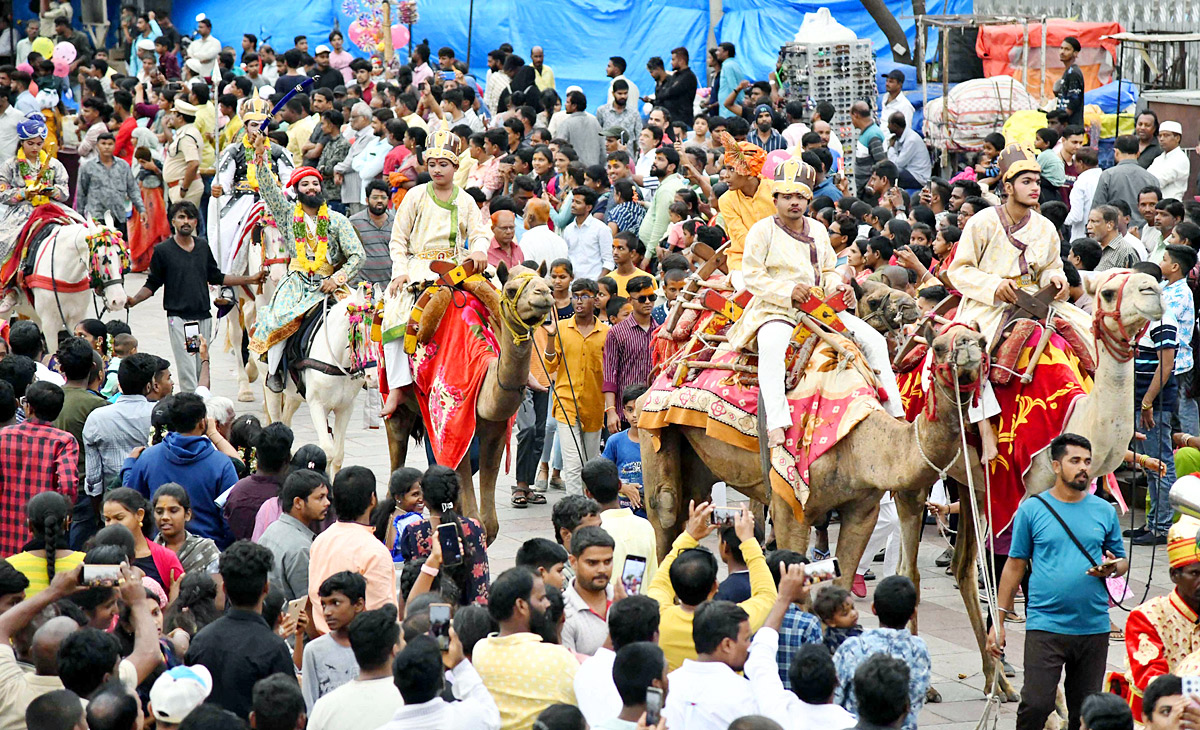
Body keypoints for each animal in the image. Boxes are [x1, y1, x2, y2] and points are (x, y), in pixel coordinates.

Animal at [265, 285, 372, 473]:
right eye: (358, 331)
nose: (373, 376)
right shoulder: (317, 405)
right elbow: (327, 452)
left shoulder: (345, 407)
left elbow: (338, 456)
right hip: (272, 390)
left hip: (294, 396)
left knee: (286, 420)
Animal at [384, 264, 552, 542]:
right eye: (511, 290)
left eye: (547, 285)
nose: (544, 295)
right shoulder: (454, 428)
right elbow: (477, 520)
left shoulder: (496, 430)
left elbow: (489, 524)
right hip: (396, 406)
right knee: (395, 458)